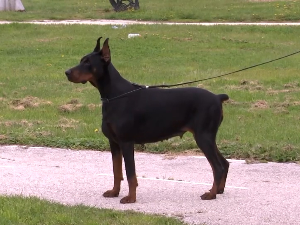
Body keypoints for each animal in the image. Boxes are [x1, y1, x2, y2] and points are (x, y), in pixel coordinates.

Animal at [65, 37, 230, 204]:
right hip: (207, 137)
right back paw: (219, 190)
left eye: (88, 62)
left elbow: (130, 173)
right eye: (81, 60)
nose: (66, 72)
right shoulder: (114, 143)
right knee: (224, 163)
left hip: (203, 137)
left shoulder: (126, 142)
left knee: (218, 167)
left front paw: (131, 198)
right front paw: (114, 192)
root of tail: (217, 97)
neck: (114, 96)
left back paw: (211, 194)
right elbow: (116, 171)